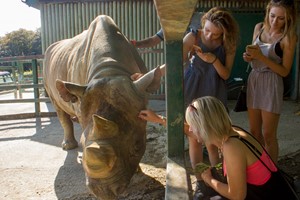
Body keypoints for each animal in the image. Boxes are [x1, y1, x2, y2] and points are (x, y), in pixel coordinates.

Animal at [42, 14, 162, 199]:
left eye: (136, 145)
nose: (103, 192)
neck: (110, 70)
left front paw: (137, 171)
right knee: (59, 107)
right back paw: (69, 147)